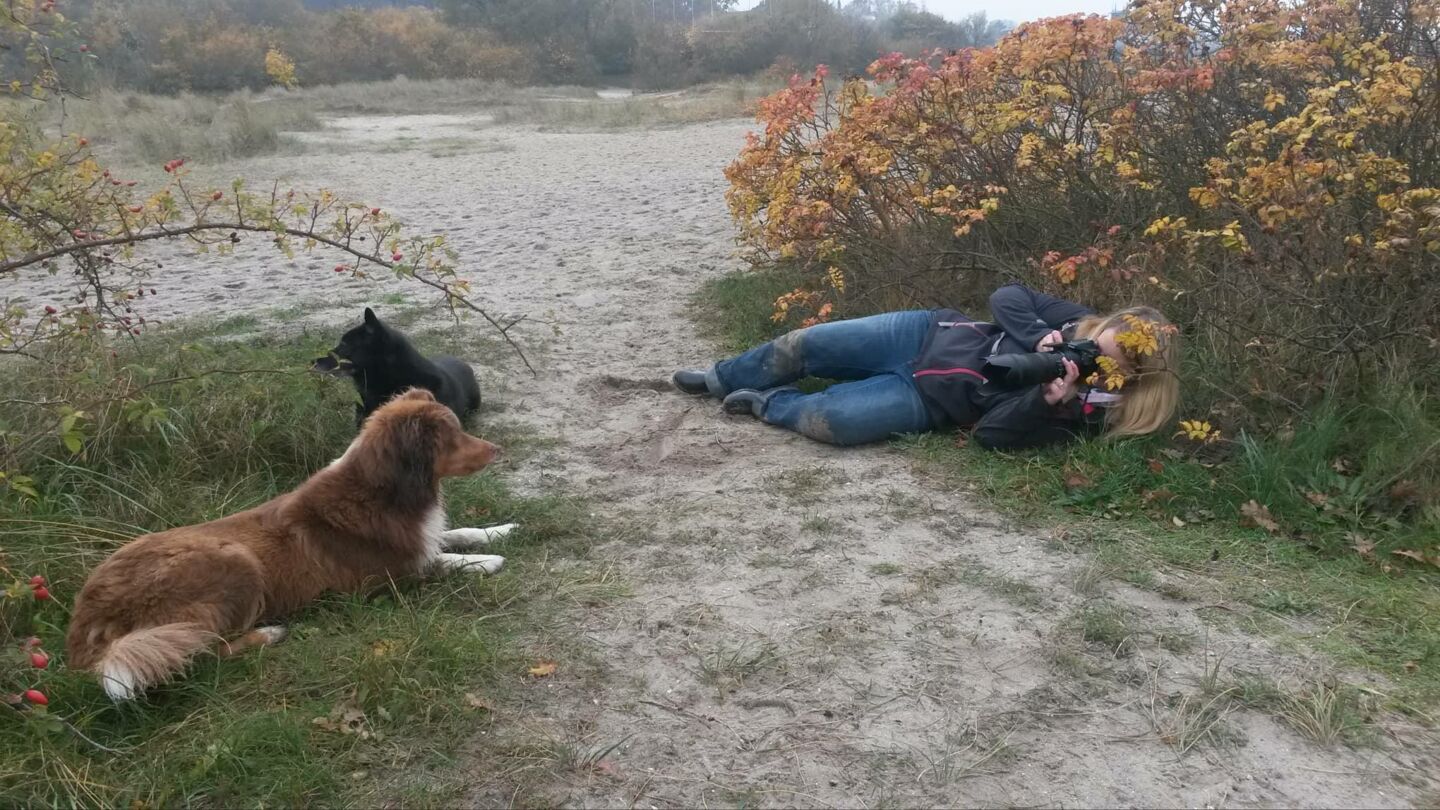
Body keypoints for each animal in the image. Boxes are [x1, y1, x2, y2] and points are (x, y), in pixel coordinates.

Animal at [65, 388, 516, 701]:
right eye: (454, 437)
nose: (498, 449)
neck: (382, 492)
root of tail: (84, 622)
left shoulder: (419, 540)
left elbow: (456, 534)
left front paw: (502, 529)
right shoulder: (392, 575)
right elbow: (446, 561)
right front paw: (489, 560)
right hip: (234, 562)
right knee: (200, 651)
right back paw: (269, 634)